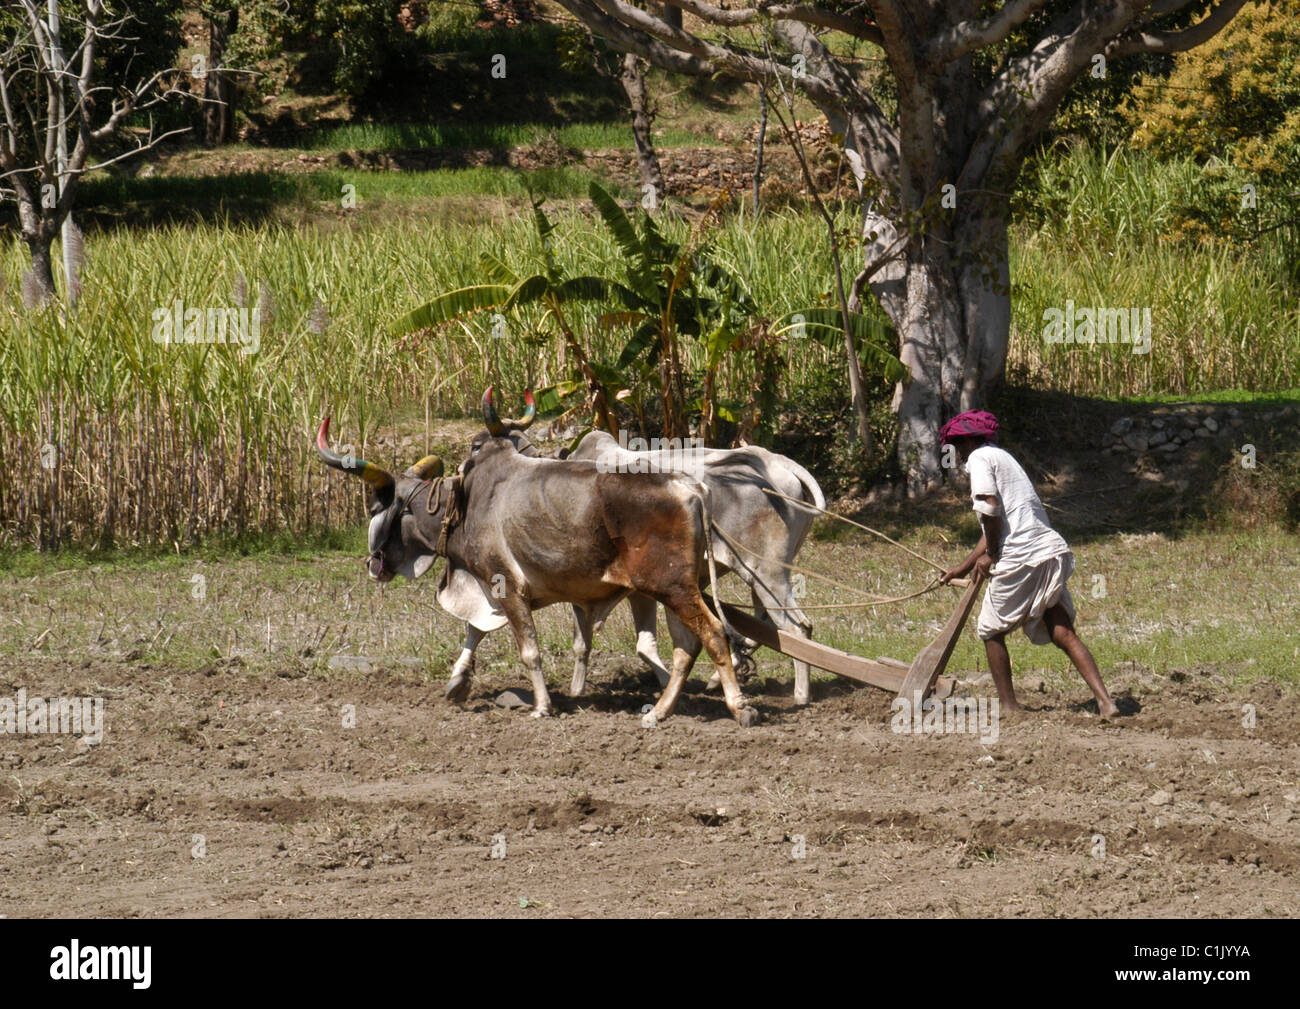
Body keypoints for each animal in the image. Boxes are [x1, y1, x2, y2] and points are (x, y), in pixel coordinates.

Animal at [315, 413, 759, 728]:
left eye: (377, 507)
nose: (373, 565)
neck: (465, 507)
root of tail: (692, 488)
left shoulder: (506, 587)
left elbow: (528, 649)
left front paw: (543, 706)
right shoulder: (492, 591)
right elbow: (474, 630)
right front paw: (457, 683)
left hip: (675, 589)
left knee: (714, 635)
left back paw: (739, 707)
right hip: (676, 591)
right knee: (687, 648)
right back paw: (660, 712)